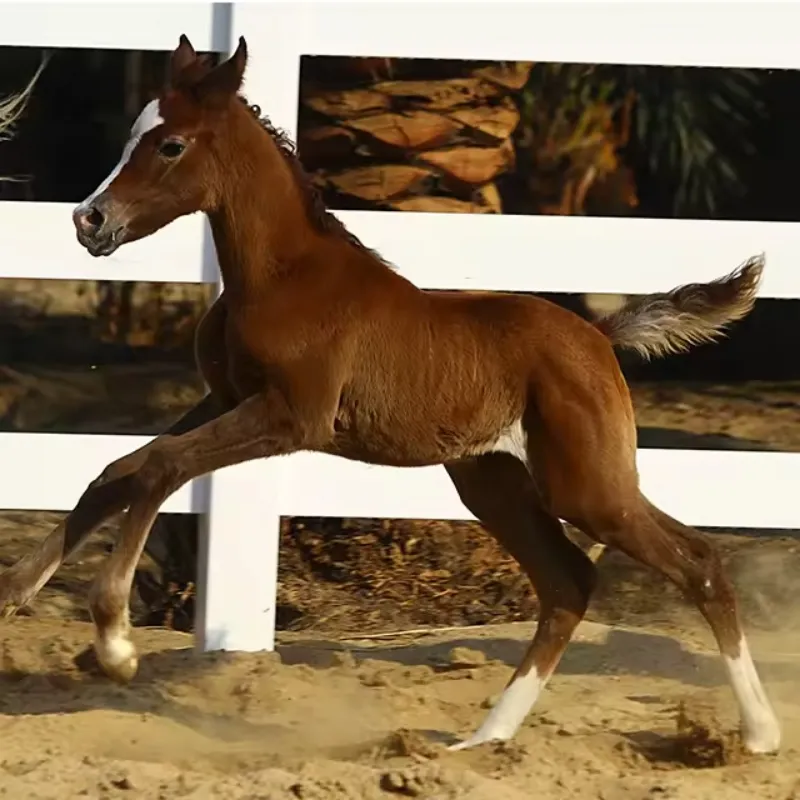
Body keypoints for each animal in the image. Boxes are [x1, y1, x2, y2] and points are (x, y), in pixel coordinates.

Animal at [0, 34, 780, 756]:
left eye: (170, 144)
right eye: (134, 134)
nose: (89, 220)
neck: (284, 276)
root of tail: (598, 332)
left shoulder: (293, 417)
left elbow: (160, 467)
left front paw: (115, 642)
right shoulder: (223, 398)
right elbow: (117, 471)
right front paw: (16, 593)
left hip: (586, 486)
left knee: (697, 564)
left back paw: (760, 734)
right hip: (494, 481)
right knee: (568, 584)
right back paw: (483, 740)